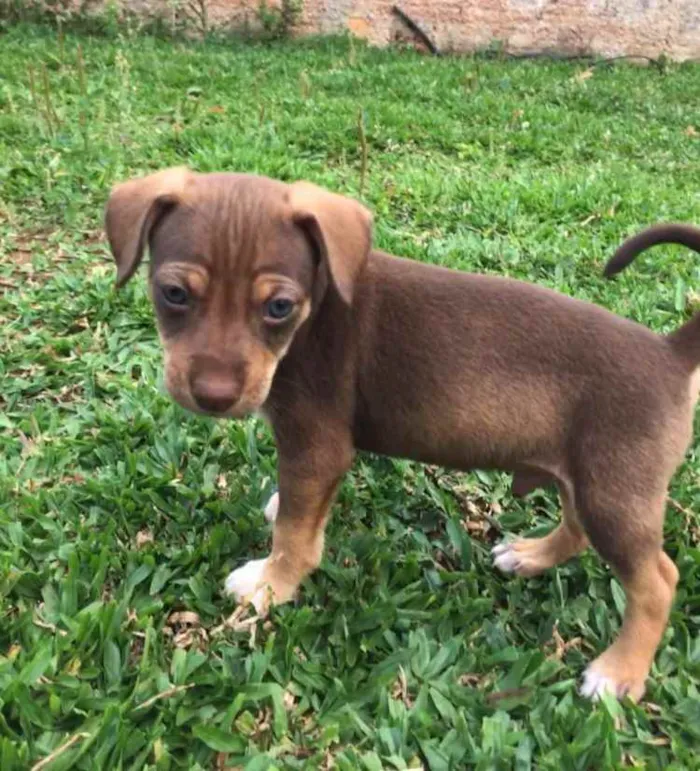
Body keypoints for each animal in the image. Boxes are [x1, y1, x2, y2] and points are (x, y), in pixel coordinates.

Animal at [105, 170, 700, 704]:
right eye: (173, 293)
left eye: (278, 307)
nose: (213, 396)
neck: (315, 310)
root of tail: (670, 352)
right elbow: (301, 512)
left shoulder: (317, 445)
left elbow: (297, 534)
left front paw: (271, 584)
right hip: (587, 477)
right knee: (577, 530)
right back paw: (531, 556)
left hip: (614, 493)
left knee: (657, 581)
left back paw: (619, 672)